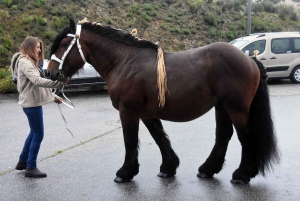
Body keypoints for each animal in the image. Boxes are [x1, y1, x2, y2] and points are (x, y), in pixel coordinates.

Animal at [47, 19, 278, 185]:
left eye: (65, 44)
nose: (49, 72)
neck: (124, 62)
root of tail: (249, 59)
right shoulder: (147, 114)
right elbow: (159, 137)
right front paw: (168, 168)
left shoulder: (128, 111)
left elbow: (130, 140)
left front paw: (125, 172)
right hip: (222, 107)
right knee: (223, 135)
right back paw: (207, 169)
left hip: (236, 108)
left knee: (245, 136)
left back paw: (242, 174)